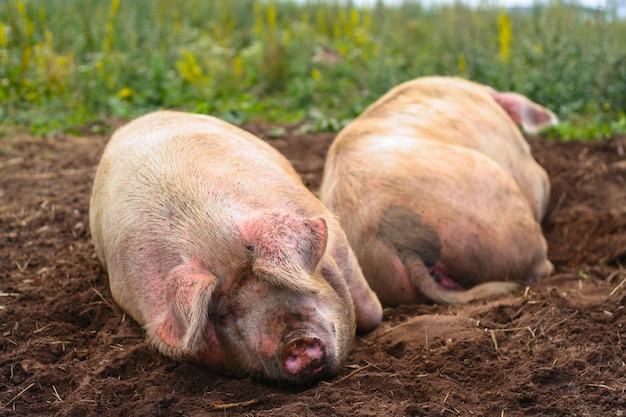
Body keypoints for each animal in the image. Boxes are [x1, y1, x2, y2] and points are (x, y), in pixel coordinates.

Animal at [88, 110, 380, 384]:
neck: (206, 232)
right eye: (223, 314)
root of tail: (140, 119)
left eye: (279, 281)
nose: (295, 343)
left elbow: (370, 313)